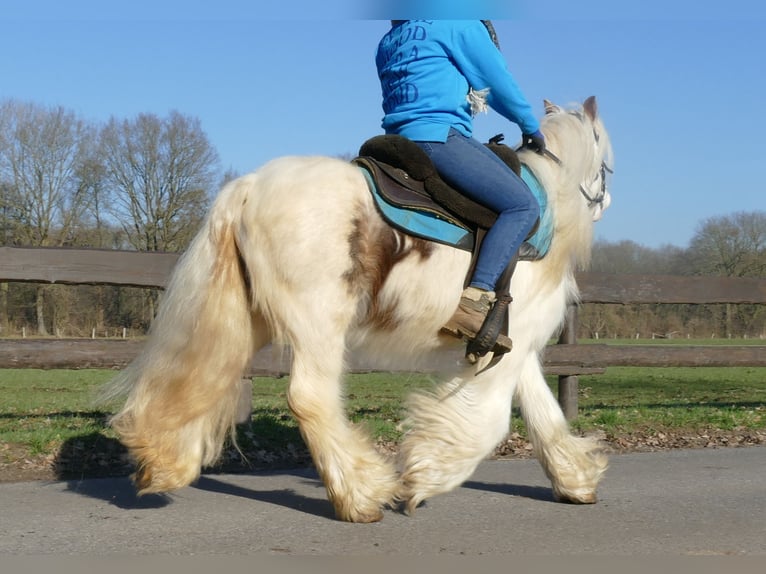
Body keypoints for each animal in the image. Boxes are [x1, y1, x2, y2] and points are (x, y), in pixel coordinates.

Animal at [103, 97, 616, 524]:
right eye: (606, 159)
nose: (605, 200)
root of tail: (249, 187)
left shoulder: (514, 345)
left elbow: (544, 414)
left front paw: (574, 480)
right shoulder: (509, 343)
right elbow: (491, 421)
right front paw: (425, 475)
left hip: (244, 320)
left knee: (200, 379)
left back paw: (162, 460)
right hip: (319, 324)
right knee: (310, 398)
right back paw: (361, 493)